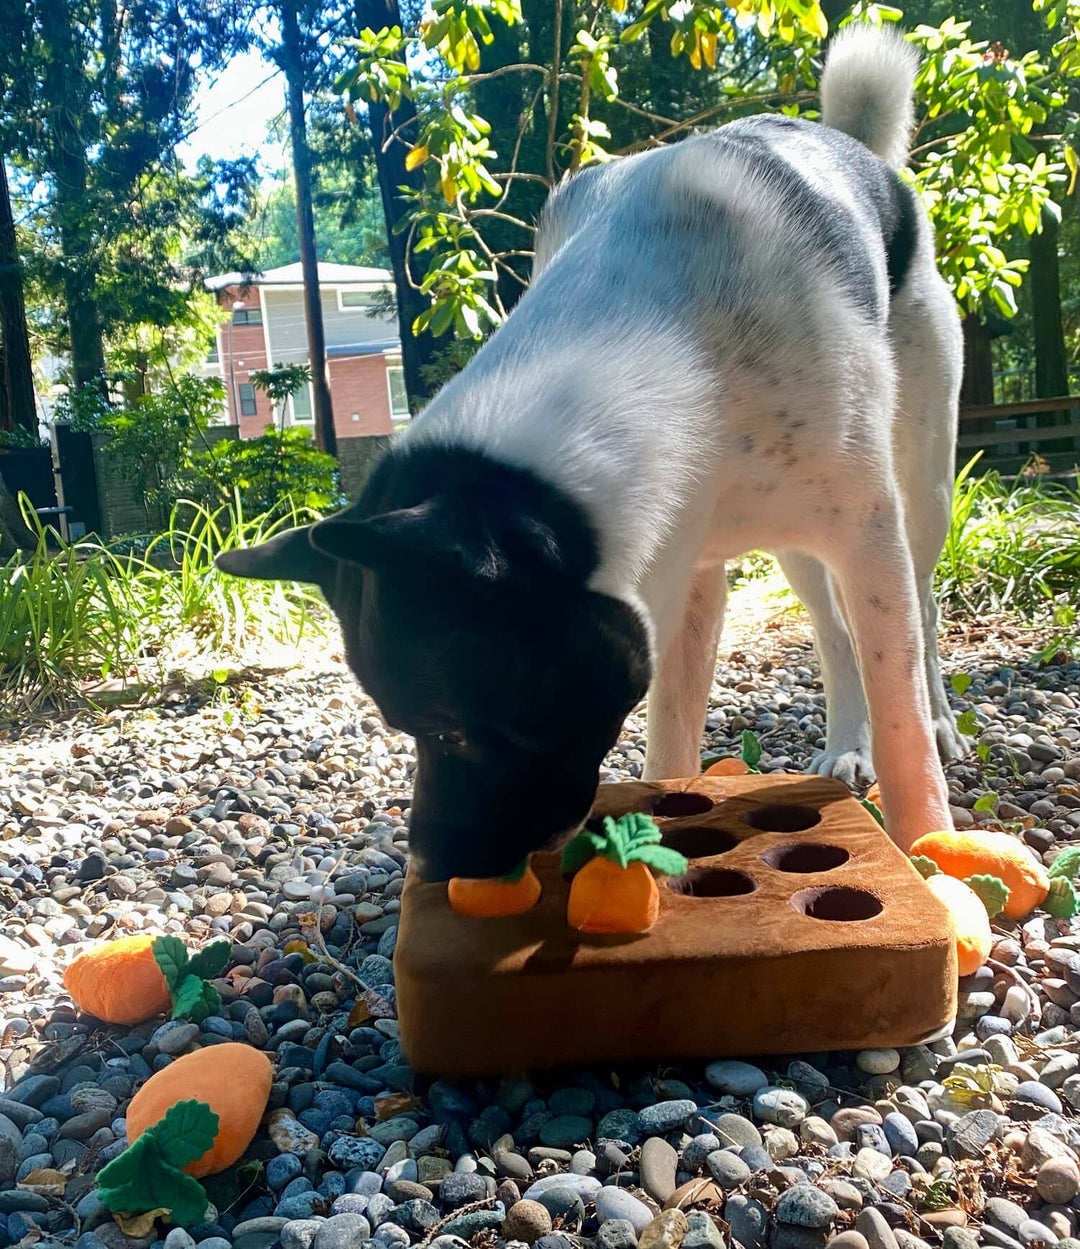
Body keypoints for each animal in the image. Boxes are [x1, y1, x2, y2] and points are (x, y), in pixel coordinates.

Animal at [219, 26, 958, 889]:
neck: (670, 338)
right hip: (795, 542)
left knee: (919, 612)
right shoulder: (687, 569)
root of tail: (855, 149)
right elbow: (673, 726)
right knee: (831, 628)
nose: (430, 864)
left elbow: (898, 703)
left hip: (916, 492)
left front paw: (930, 846)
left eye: (449, 729)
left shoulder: (862, 528)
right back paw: (845, 743)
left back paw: (942, 725)